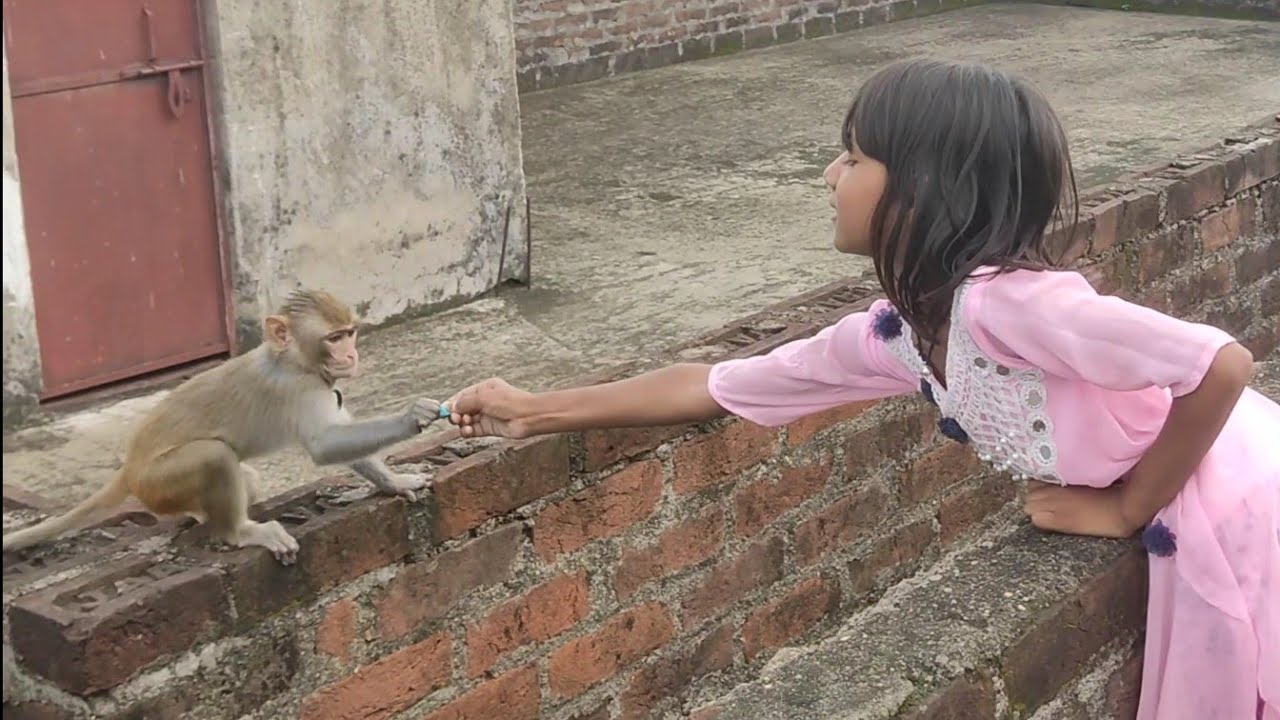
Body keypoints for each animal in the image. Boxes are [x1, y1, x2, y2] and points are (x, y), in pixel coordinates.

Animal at [2, 289, 444, 565]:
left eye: (350, 333)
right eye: (334, 338)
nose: (351, 356)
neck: (294, 360)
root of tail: (129, 468)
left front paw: (393, 481)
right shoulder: (299, 389)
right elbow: (324, 444)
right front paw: (413, 416)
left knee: (246, 479)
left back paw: (205, 518)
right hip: (159, 481)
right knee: (214, 455)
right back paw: (240, 531)